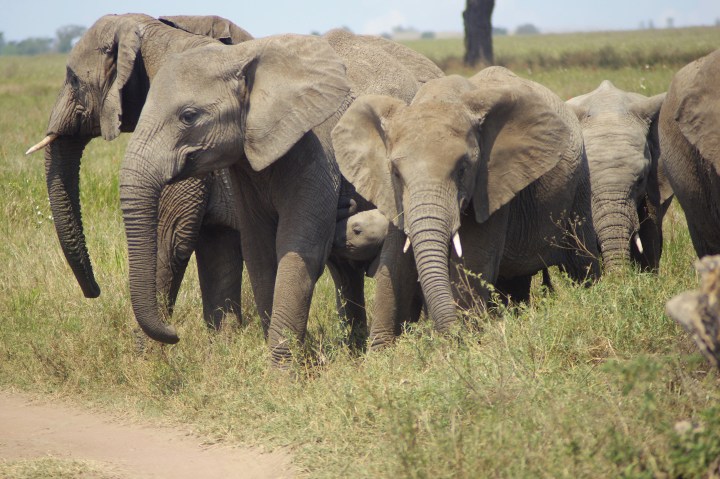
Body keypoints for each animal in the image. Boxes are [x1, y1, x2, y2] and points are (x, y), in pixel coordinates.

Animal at [118, 32, 444, 366]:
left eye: (189, 116)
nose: (174, 334)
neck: (239, 57)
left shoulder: (315, 147)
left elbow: (299, 247)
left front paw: (282, 369)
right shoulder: (245, 164)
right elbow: (259, 251)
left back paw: (380, 355)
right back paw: (356, 349)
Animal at [332, 67, 601, 348]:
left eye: (462, 169)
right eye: (395, 172)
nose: (445, 335)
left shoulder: (490, 184)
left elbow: (471, 260)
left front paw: (460, 346)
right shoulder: (395, 197)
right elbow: (395, 261)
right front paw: (382, 351)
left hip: (580, 183)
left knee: (581, 262)